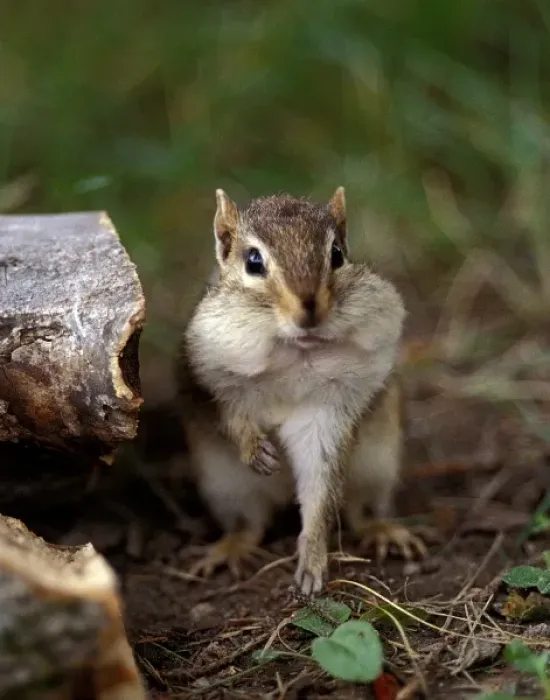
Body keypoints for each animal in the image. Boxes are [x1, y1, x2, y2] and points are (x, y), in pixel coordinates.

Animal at [177, 187, 426, 595]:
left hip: (378, 466)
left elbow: (319, 490)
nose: (308, 308)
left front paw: (311, 560)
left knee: (357, 510)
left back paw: (382, 530)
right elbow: (230, 416)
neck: (295, 352)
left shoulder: (329, 409)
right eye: (253, 261)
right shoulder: (218, 381)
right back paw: (229, 549)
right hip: (226, 485)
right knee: (250, 524)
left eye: (337, 254)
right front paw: (254, 447)